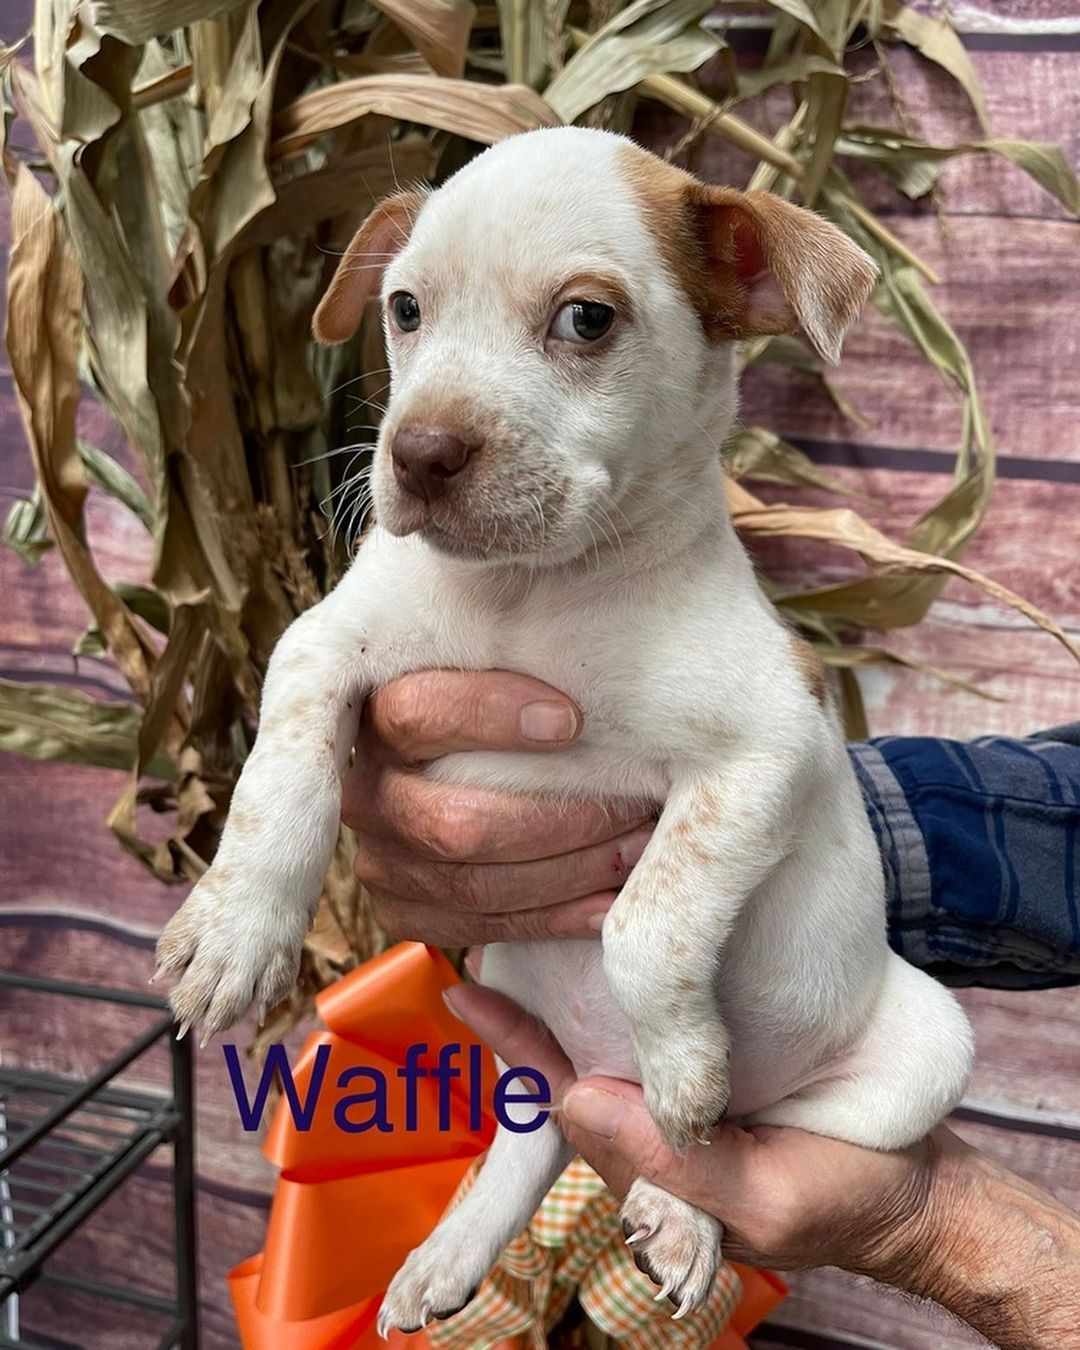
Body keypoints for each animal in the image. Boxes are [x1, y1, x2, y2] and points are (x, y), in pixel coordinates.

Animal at [155, 126, 972, 1328]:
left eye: (585, 319)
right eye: (405, 309)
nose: (418, 453)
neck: (528, 594)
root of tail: (595, 1074)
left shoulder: (770, 744)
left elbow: (648, 919)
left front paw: (684, 1064)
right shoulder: (321, 645)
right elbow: (278, 784)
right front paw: (235, 934)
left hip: (921, 1052)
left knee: (735, 1144)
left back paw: (681, 1202)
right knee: (532, 1136)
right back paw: (449, 1257)